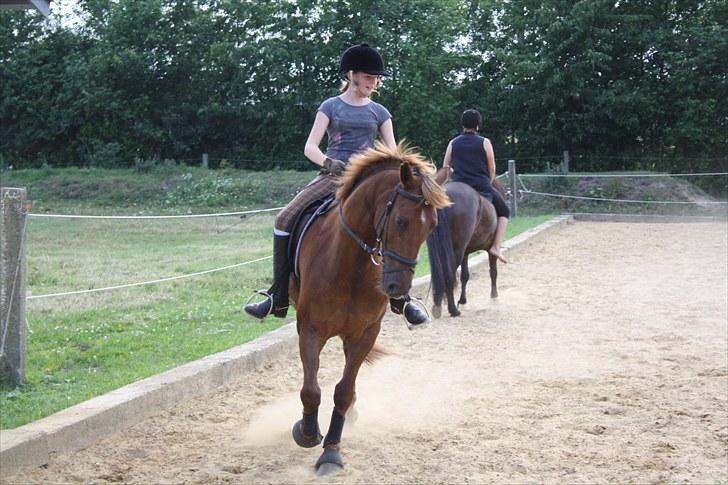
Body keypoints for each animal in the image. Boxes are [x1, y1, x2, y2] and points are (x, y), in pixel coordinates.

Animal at [288, 141, 450, 472]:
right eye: (400, 221)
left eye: (431, 228)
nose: (397, 288)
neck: (350, 265)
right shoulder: (309, 330)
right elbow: (311, 390)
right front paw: (307, 432)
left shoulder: (365, 334)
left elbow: (343, 390)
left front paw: (331, 451)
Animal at [426, 179, 506, 318]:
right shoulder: (490, 249)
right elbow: (493, 271)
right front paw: (494, 297)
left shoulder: (465, 252)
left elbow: (465, 276)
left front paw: (463, 300)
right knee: (449, 273)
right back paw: (452, 309)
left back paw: (437, 306)